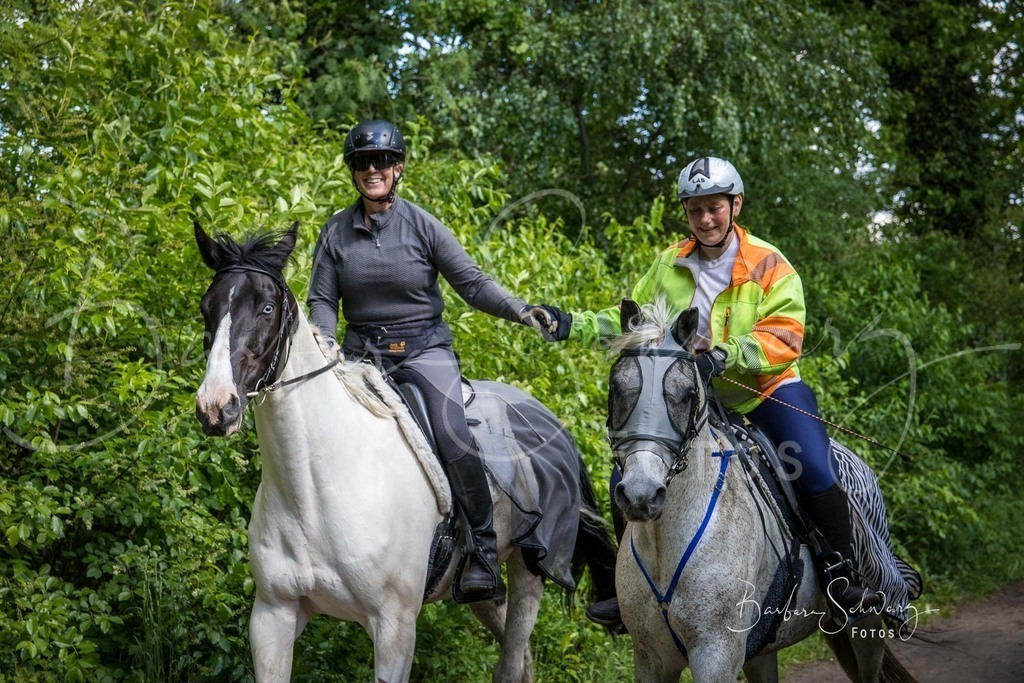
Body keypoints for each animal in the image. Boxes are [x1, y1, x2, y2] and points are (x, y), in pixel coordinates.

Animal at [191, 221, 617, 683]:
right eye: (206, 308)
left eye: (267, 308)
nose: (216, 406)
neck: (312, 490)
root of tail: (551, 423)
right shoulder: (273, 617)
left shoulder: (394, 626)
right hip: (481, 592)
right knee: (520, 657)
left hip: (529, 569)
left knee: (512, 658)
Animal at [607, 298, 916, 683]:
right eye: (617, 388)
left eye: (687, 393)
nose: (642, 494)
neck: (666, 543)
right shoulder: (651, 657)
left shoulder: (716, 655)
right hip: (762, 651)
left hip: (867, 626)